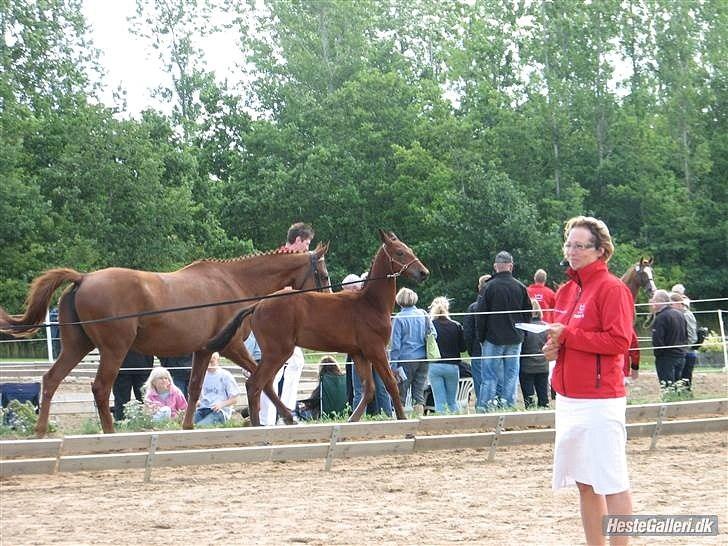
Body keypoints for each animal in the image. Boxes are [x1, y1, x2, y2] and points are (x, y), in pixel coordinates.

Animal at [0, 244, 330, 436]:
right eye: (324, 275)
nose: (328, 297)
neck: (234, 282)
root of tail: (83, 278)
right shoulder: (232, 346)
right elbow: (263, 381)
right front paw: (289, 417)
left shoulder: (203, 350)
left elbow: (195, 388)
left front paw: (187, 425)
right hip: (113, 350)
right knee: (101, 388)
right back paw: (109, 432)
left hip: (76, 347)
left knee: (51, 380)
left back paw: (41, 430)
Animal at [205, 227, 430, 422]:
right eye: (400, 252)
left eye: (409, 250)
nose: (424, 273)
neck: (370, 303)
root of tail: (258, 304)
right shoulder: (376, 350)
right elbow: (391, 383)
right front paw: (402, 418)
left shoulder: (360, 354)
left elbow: (369, 389)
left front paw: (352, 419)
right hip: (278, 351)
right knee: (255, 384)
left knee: (263, 384)